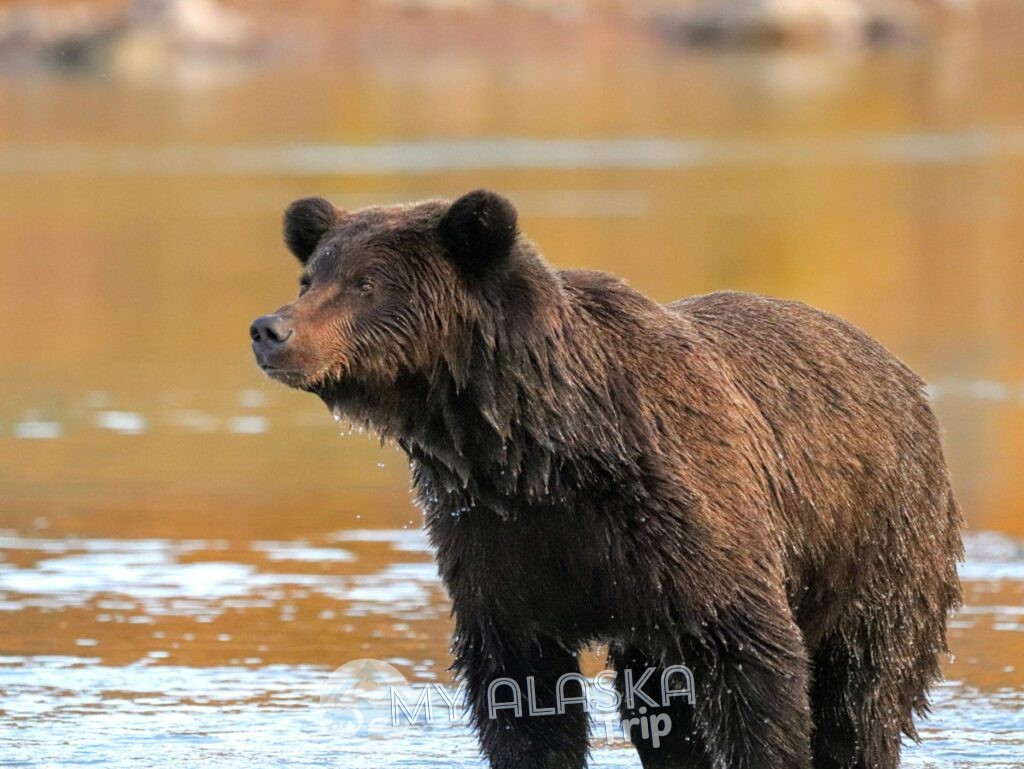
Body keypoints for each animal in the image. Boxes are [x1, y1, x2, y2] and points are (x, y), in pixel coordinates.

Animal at [250, 190, 963, 769]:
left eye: (366, 283)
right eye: (310, 276)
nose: (270, 329)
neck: (536, 451)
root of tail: (901, 372)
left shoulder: (685, 518)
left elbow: (753, 661)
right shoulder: (495, 540)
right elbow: (521, 693)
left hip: (877, 536)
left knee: (865, 687)